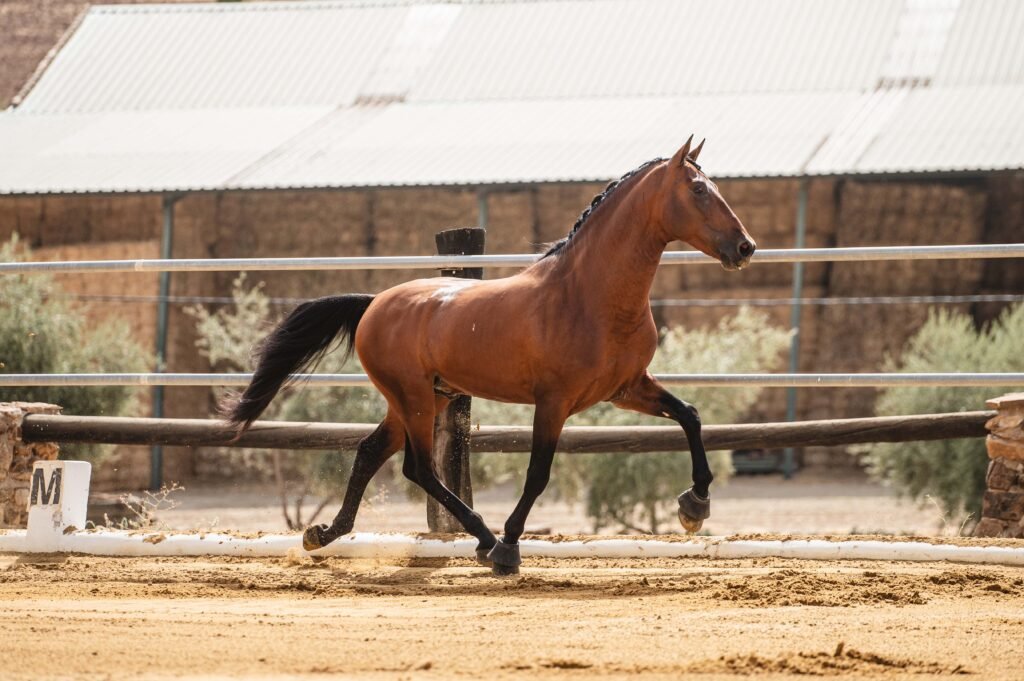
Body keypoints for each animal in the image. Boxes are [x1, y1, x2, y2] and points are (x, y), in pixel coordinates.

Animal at [225, 136, 756, 574]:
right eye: (698, 189)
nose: (745, 247)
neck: (589, 295)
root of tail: (374, 303)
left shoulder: (625, 389)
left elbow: (690, 415)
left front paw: (694, 506)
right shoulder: (555, 401)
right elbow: (538, 473)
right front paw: (510, 546)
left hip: (424, 399)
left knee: (370, 453)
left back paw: (324, 534)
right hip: (414, 398)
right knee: (419, 468)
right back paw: (484, 539)